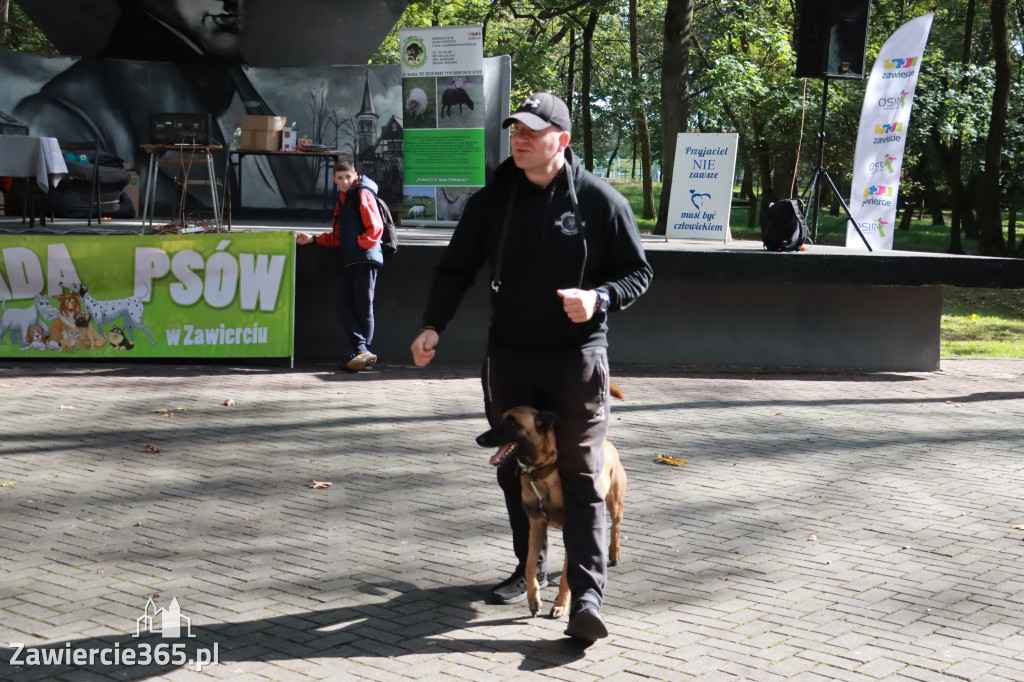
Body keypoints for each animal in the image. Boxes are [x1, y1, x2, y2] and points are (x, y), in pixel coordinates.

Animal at [477, 405, 626, 618]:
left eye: (513, 422)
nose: (479, 439)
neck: (540, 473)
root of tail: (605, 443)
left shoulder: (572, 530)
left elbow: (566, 575)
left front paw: (561, 605)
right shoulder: (536, 525)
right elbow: (530, 565)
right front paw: (533, 599)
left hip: (614, 503)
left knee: (615, 527)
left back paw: (614, 553)